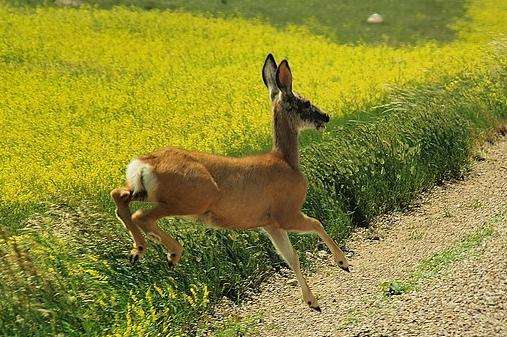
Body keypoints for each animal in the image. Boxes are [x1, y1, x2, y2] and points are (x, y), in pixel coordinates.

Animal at [110, 53, 350, 310]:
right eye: (305, 102)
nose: (326, 116)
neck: (286, 161)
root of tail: (144, 163)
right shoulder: (285, 212)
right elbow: (316, 224)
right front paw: (342, 263)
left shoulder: (269, 224)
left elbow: (291, 257)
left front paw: (311, 301)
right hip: (193, 198)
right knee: (141, 215)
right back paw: (172, 254)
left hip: (149, 192)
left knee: (120, 196)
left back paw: (138, 251)